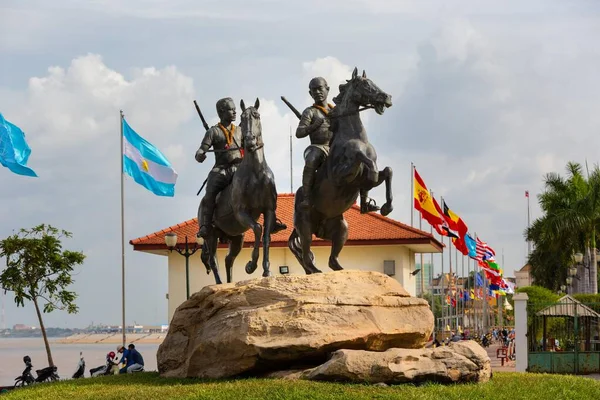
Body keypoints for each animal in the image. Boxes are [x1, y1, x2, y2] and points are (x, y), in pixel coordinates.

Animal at [202, 98, 284, 282]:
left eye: (257, 116)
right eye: (241, 118)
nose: (250, 141)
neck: (256, 173)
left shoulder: (269, 210)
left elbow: (266, 236)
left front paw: (266, 270)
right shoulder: (241, 212)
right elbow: (258, 228)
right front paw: (251, 265)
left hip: (236, 237)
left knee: (228, 259)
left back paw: (229, 282)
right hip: (211, 235)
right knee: (212, 260)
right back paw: (219, 283)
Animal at [290, 68, 394, 276]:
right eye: (365, 84)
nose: (387, 97)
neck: (355, 137)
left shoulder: (362, 179)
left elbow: (387, 171)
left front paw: (386, 207)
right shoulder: (342, 176)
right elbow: (364, 161)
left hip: (340, 228)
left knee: (331, 260)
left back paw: (337, 268)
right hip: (304, 227)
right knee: (306, 254)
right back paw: (315, 270)